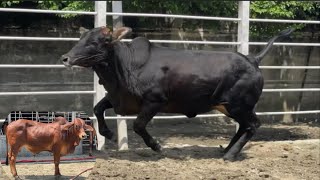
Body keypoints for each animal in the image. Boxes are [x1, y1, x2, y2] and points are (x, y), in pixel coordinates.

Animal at [61, 27, 294, 160]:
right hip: (227, 106)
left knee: (253, 125)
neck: (127, 64)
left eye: (97, 41)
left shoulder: (154, 101)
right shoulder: (118, 98)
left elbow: (138, 125)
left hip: (239, 105)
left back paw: (229, 154)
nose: (65, 58)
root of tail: (253, 59)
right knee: (245, 126)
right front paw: (108, 133)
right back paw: (226, 149)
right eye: (81, 38)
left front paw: (157, 146)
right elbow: (97, 108)